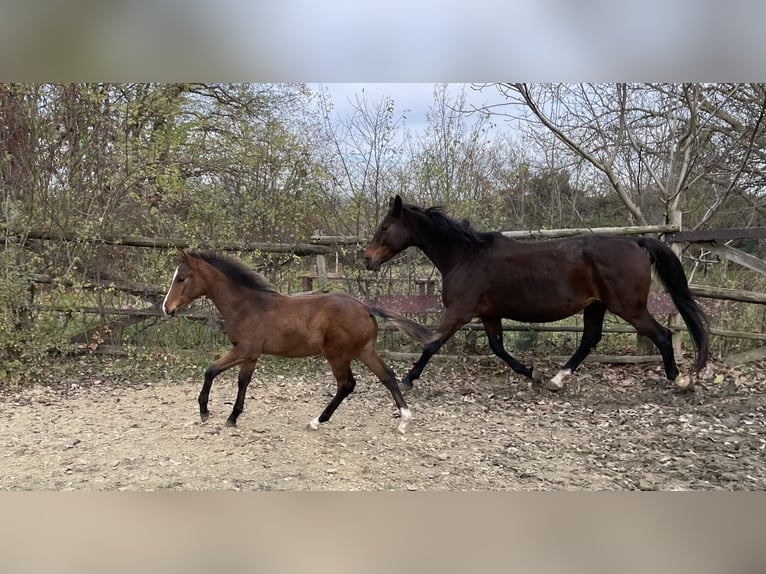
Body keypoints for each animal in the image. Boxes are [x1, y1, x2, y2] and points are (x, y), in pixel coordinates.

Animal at [161, 250, 432, 434]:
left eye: (181, 278)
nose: (167, 308)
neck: (248, 305)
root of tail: (366, 307)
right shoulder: (251, 354)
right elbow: (242, 381)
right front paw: (233, 416)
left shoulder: (244, 349)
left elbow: (210, 370)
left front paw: (205, 412)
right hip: (365, 351)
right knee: (387, 376)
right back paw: (404, 419)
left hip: (337, 355)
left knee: (347, 384)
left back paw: (317, 421)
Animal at [364, 197, 712, 392]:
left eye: (385, 227)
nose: (367, 259)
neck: (465, 256)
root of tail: (636, 242)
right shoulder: (489, 314)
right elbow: (498, 348)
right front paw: (529, 372)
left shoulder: (459, 312)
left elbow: (432, 344)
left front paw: (408, 379)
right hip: (596, 306)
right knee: (590, 339)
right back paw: (557, 381)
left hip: (629, 307)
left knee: (662, 335)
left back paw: (679, 380)